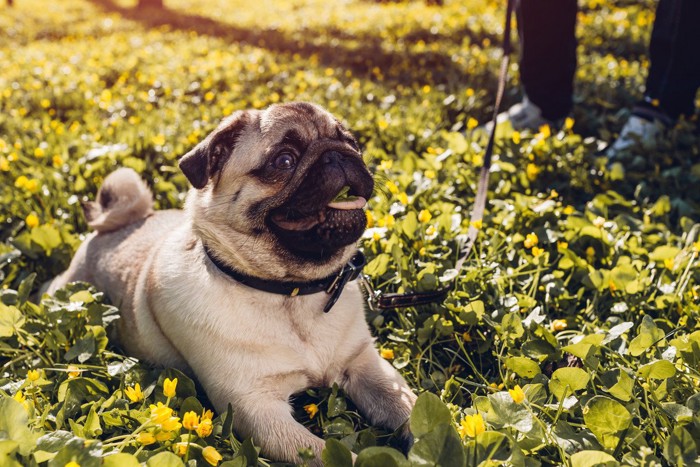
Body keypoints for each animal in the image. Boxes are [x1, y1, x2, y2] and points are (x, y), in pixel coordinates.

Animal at [50, 101, 422, 464]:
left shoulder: (366, 366)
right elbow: (330, 455)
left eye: (351, 141)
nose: (338, 153)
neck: (292, 294)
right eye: (284, 160)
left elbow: (411, 409)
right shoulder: (255, 409)